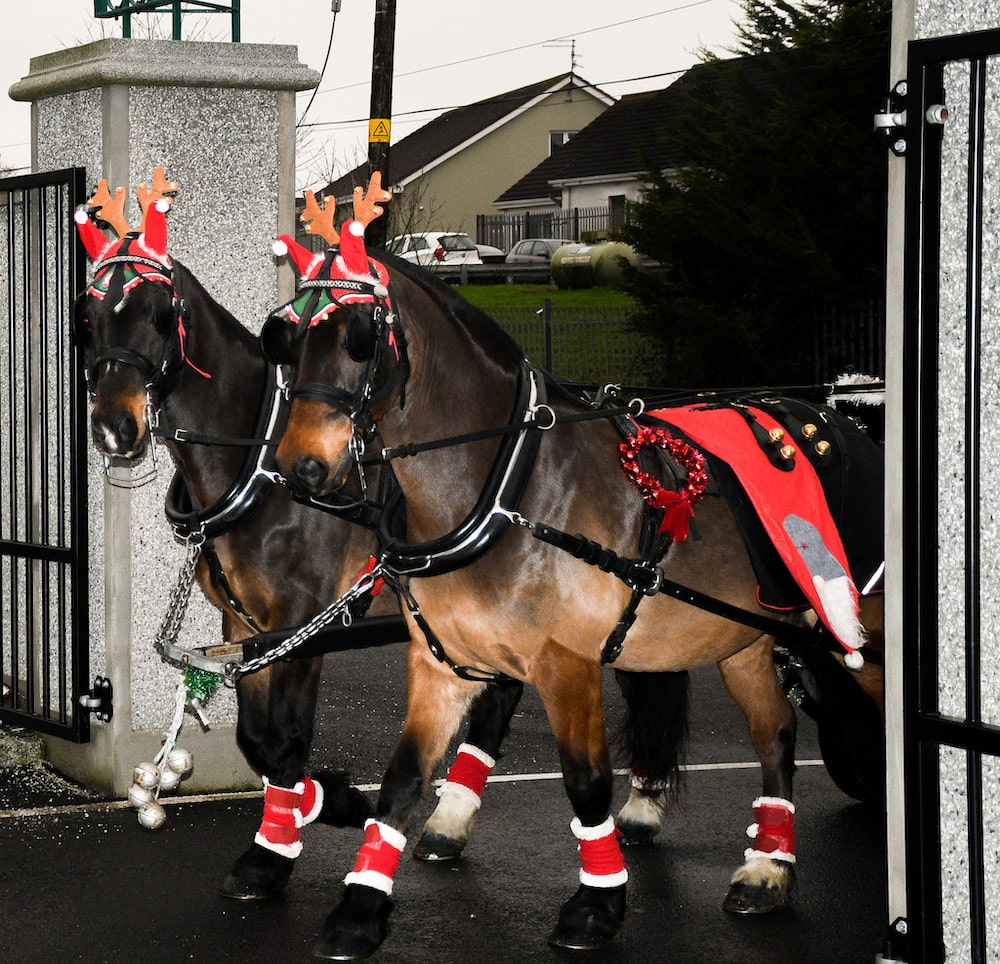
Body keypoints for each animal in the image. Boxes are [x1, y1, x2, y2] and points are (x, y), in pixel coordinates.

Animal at [71, 171, 528, 896]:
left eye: (160, 313)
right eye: (90, 317)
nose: (115, 428)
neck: (258, 464)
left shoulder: (302, 618)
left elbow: (285, 736)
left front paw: (290, 836)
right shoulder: (245, 621)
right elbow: (258, 738)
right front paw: (300, 813)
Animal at [266, 233, 884, 956]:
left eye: (360, 338)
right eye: (286, 341)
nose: (300, 467)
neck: (506, 489)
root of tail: (839, 419)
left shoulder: (568, 664)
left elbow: (586, 783)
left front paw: (596, 906)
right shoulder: (442, 666)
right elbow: (402, 780)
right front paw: (361, 909)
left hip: (857, 625)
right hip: (744, 638)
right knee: (776, 732)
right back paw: (766, 868)